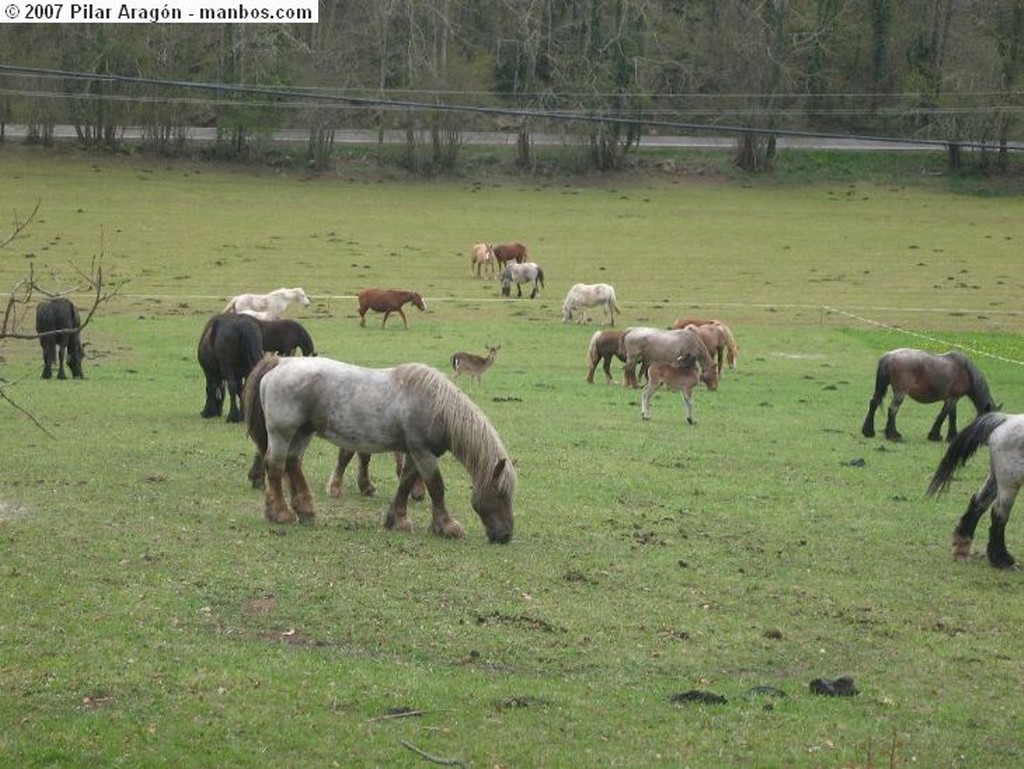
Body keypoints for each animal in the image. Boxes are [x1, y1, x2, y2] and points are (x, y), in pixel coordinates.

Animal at [860, 350, 995, 444]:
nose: (987, 442)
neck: (965, 371)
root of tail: (889, 356)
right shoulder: (953, 398)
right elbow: (944, 415)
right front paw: (936, 436)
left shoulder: (952, 398)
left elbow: (951, 416)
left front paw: (950, 436)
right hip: (900, 392)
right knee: (893, 409)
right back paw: (893, 435)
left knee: (874, 403)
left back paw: (868, 431)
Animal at [929, 411, 1024, 569]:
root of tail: (1006, 419)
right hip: (1009, 482)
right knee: (998, 514)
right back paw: (1002, 559)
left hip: (995, 477)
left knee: (978, 502)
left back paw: (962, 545)